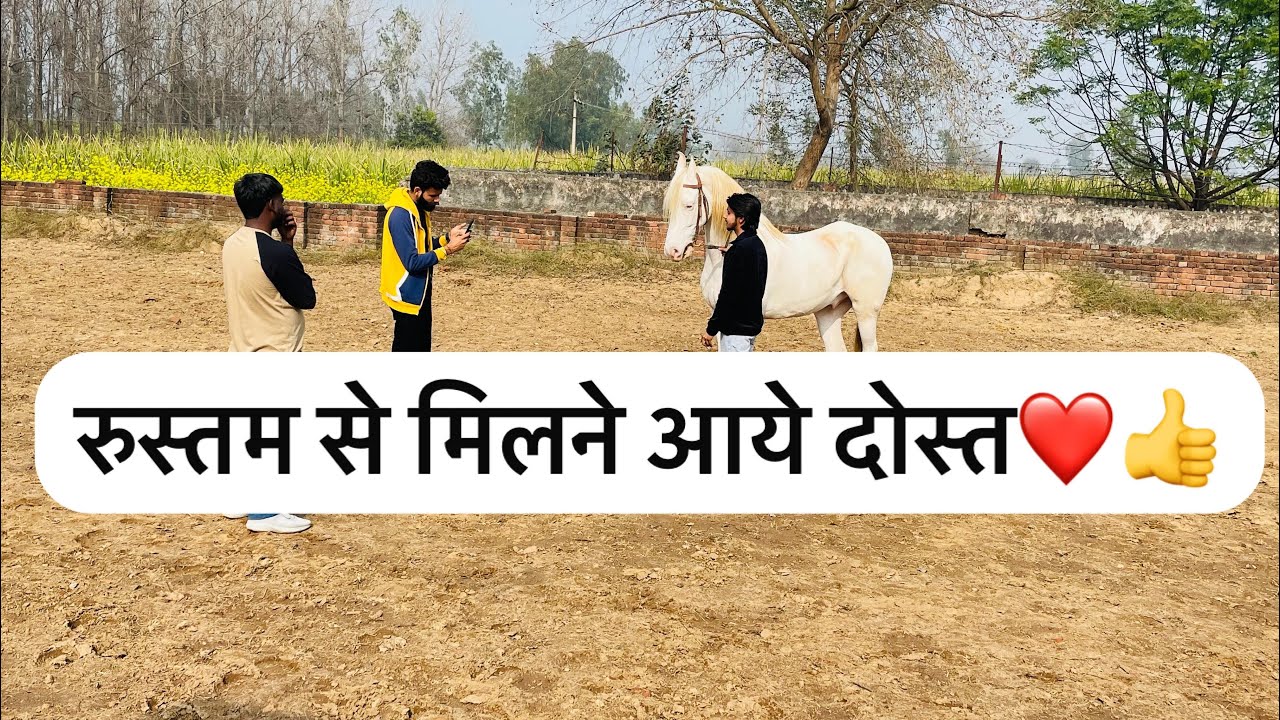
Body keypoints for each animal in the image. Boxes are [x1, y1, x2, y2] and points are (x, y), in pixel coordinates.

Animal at [661, 152, 894, 352]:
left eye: (689, 205)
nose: (673, 251)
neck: (725, 254)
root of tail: (881, 242)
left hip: (866, 313)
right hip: (828, 312)